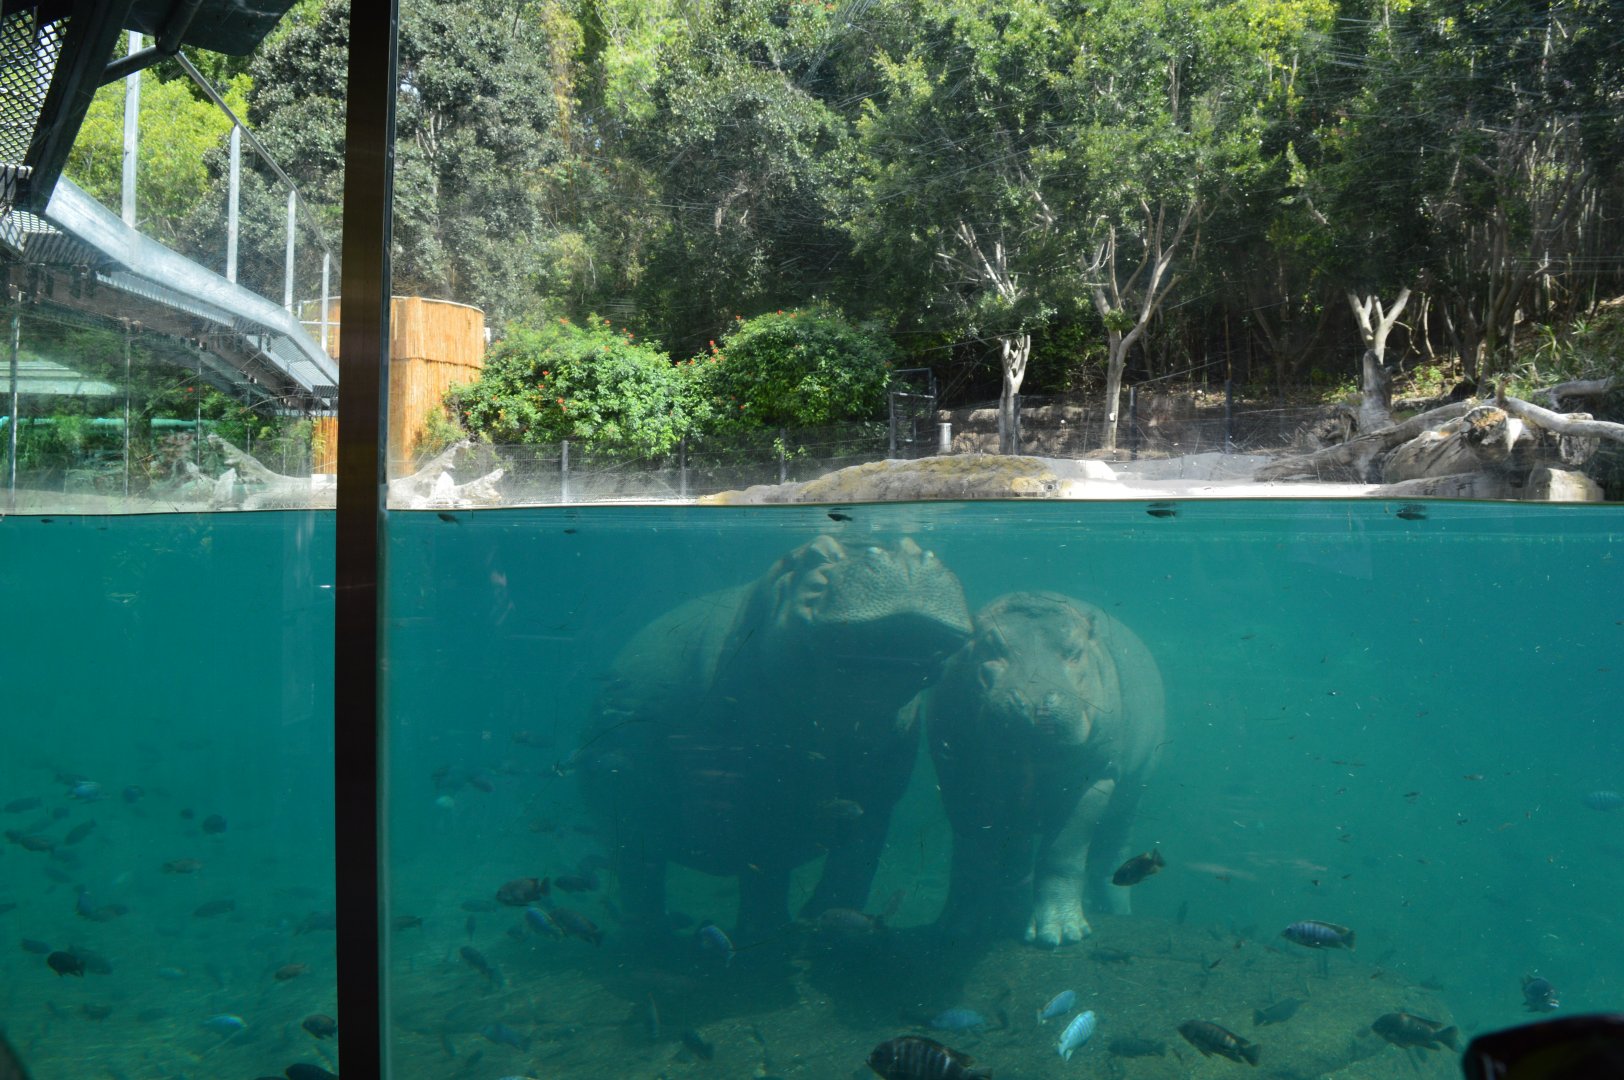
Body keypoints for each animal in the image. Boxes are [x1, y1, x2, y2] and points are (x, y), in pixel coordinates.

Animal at [577, 535, 972, 944]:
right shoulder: (752, 799)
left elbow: (853, 867)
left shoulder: (875, 798)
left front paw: (822, 927)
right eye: (813, 555)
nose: (901, 555)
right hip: (626, 793)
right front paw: (772, 933)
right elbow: (764, 868)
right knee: (642, 874)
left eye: (910, 544)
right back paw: (654, 937)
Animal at [921, 591, 1164, 945]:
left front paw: (1060, 934)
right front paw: (954, 928)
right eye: (991, 645)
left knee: (1113, 849)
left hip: (1133, 792)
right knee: (1017, 856)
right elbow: (972, 853)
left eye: (1075, 650)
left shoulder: (1097, 777)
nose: (1032, 701)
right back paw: (1008, 914)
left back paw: (1118, 912)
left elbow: (1062, 853)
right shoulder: (957, 774)